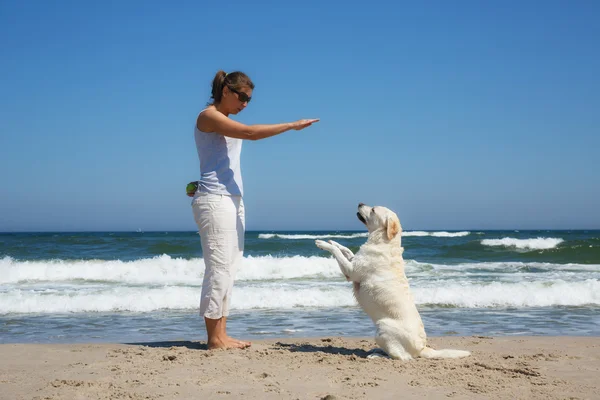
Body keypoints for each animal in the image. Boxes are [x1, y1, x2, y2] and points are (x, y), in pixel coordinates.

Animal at [314, 205, 468, 360]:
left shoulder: (350, 271)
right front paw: (333, 242)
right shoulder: (353, 261)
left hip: (382, 328)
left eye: (373, 210)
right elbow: (346, 250)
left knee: (400, 357)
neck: (383, 241)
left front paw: (323, 243)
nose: (360, 203)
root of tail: (421, 349)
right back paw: (376, 350)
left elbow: (338, 253)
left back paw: (376, 355)